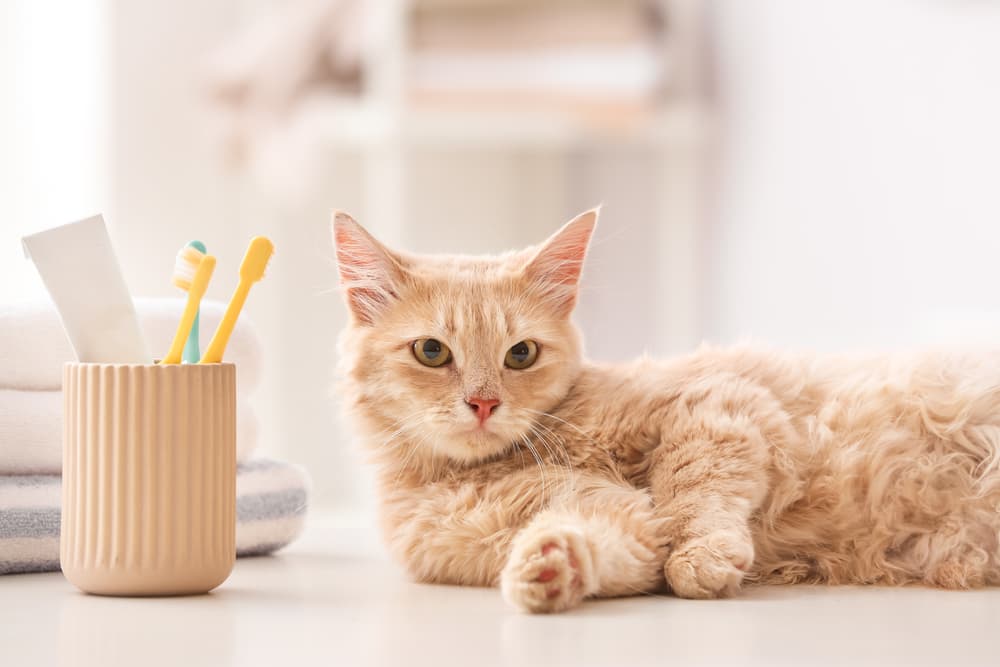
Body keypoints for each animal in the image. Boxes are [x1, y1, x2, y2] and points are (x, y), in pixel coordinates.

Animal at [334, 211, 1000, 612]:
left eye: (520, 354)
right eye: (431, 352)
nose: (483, 402)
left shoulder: (717, 405)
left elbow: (691, 492)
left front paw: (703, 558)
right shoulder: (620, 527)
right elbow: (613, 542)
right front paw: (550, 567)